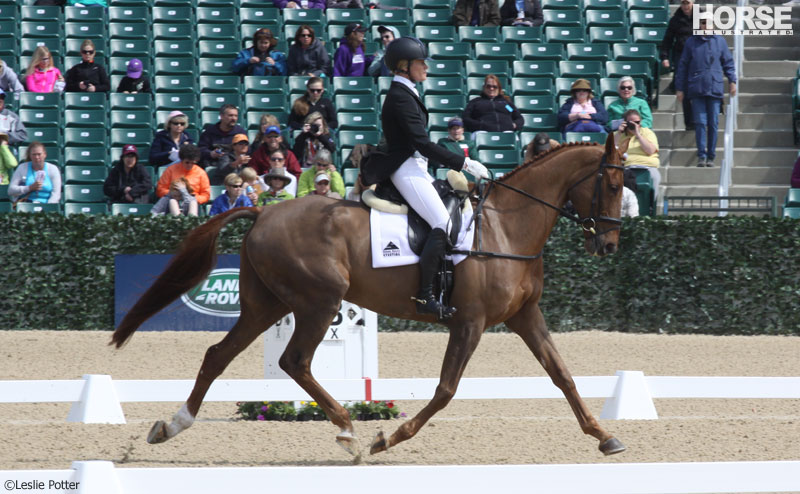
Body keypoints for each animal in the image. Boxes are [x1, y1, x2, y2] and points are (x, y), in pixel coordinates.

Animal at [112, 134, 628, 460]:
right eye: (614, 183)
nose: (608, 247)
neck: (506, 225)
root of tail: (263, 211)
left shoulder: (525, 316)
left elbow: (562, 375)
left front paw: (604, 436)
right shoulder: (470, 322)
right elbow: (445, 389)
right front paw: (388, 438)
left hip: (267, 304)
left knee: (218, 354)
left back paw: (172, 425)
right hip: (319, 301)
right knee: (295, 361)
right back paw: (348, 431)